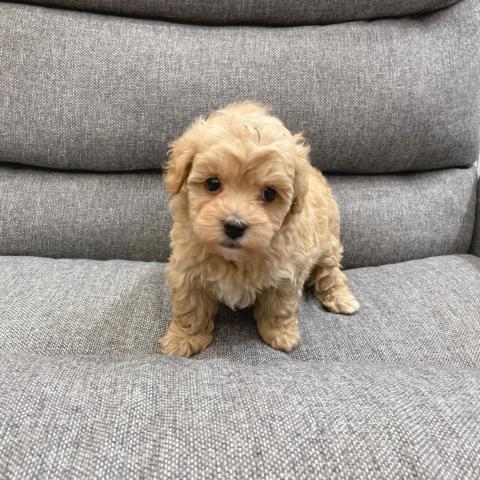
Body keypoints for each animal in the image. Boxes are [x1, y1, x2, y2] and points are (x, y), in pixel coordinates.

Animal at [161, 102, 359, 357]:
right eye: (212, 183)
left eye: (269, 193)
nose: (234, 226)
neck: (234, 260)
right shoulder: (187, 268)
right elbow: (189, 307)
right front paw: (183, 340)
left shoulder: (286, 273)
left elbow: (280, 307)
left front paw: (281, 335)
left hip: (328, 244)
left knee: (331, 273)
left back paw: (341, 298)